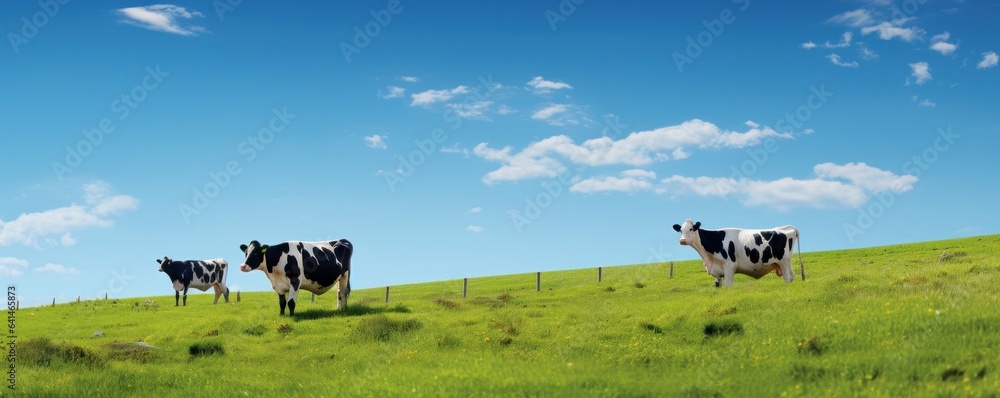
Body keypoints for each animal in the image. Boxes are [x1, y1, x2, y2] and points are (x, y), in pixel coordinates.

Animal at [672, 219, 804, 288]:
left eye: (691, 229)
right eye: (680, 230)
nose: (682, 240)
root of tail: (787, 227)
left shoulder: (730, 266)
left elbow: (728, 285)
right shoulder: (717, 271)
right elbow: (718, 286)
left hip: (784, 262)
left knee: (788, 278)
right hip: (786, 263)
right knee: (791, 277)